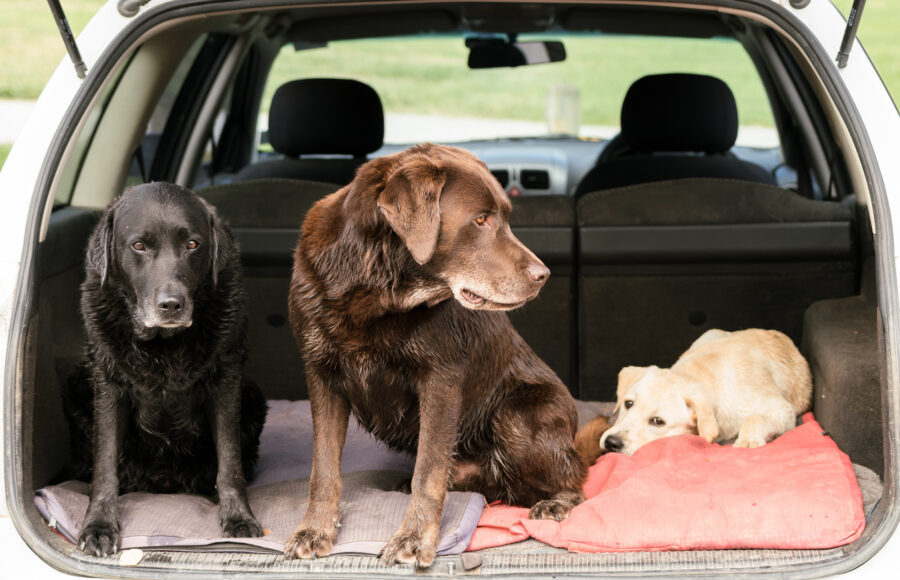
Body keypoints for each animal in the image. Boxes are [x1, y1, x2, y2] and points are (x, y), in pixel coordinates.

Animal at [62, 182, 268, 556]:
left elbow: (229, 461)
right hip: (75, 385)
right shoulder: (108, 384)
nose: (171, 305)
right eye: (139, 245)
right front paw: (98, 526)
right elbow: (105, 464)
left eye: (193, 244)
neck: (162, 344)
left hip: (253, 395)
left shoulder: (226, 380)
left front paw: (238, 516)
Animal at [600, 328, 812, 456]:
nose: (612, 443)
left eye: (658, 421)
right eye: (628, 403)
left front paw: (748, 440)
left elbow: (755, 417)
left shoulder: (782, 410)